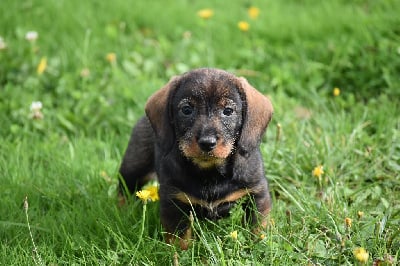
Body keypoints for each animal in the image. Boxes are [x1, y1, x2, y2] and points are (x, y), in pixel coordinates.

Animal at [119, 67, 274, 248]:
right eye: (187, 110)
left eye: (228, 111)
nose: (207, 143)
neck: (210, 172)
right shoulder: (174, 201)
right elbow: (179, 239)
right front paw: (179, 253)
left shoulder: (257, 193)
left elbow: (256, 226)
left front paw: (258, 245)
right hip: (134, 166)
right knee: (123, 188)